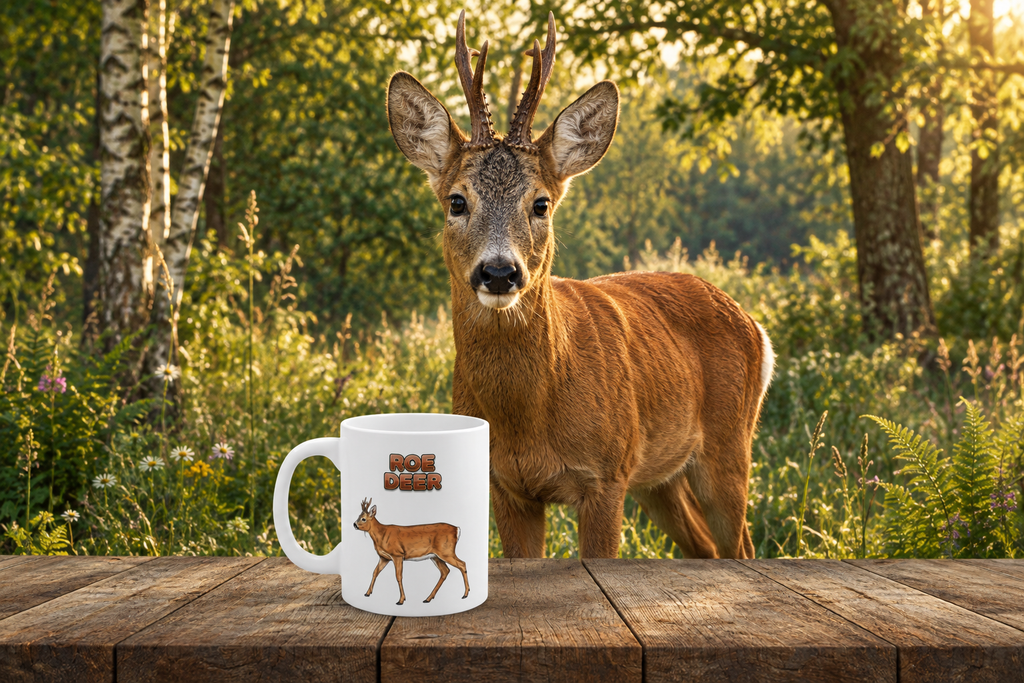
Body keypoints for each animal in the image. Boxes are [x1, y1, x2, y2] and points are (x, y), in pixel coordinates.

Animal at [385, 11, 775, 559]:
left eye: (541, 203)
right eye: (457, 201)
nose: (500, 272)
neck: (528, 419)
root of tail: (753, 324)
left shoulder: (606, 476)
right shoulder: (506, 486)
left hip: (728, 443)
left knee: (740, 544)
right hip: (660, 478)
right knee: (706, 546)